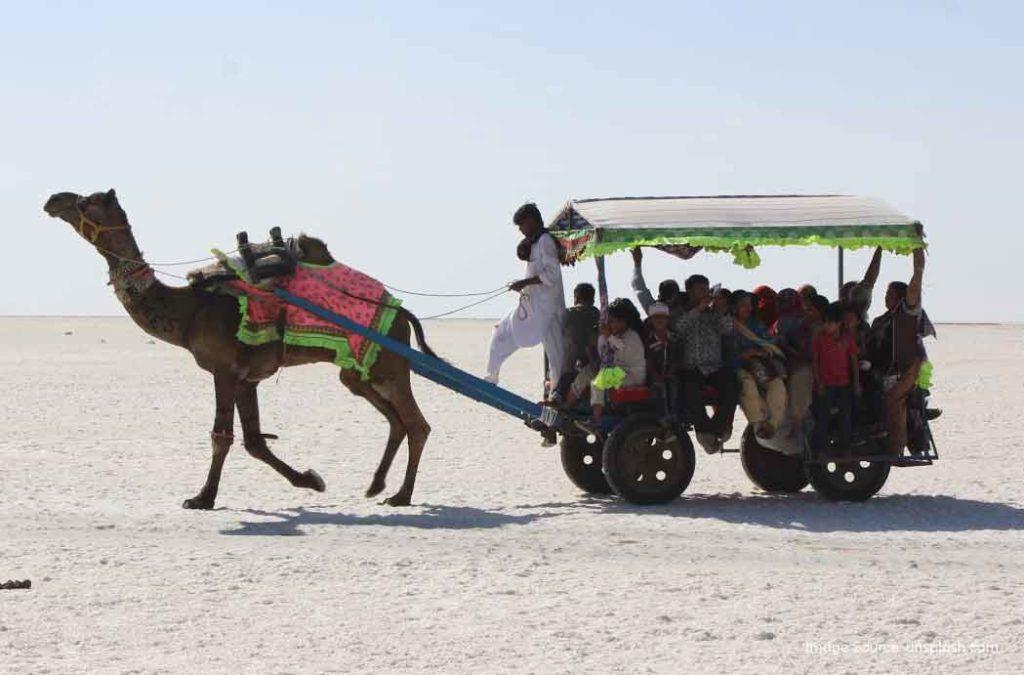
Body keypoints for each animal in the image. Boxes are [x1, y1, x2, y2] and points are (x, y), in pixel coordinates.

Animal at [45, 188, 432, 508]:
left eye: (86, 201)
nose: (53, 200)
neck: (189, 310)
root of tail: (401, 312)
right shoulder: (248, 378)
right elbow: (254, 441)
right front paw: (310, 480)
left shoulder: (224, 370)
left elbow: (223, 436)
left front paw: (202, 498)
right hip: (356, 371)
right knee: (396, 421)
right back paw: (376, 486)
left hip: (387, 362)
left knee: (417, 424)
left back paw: (401, 495)